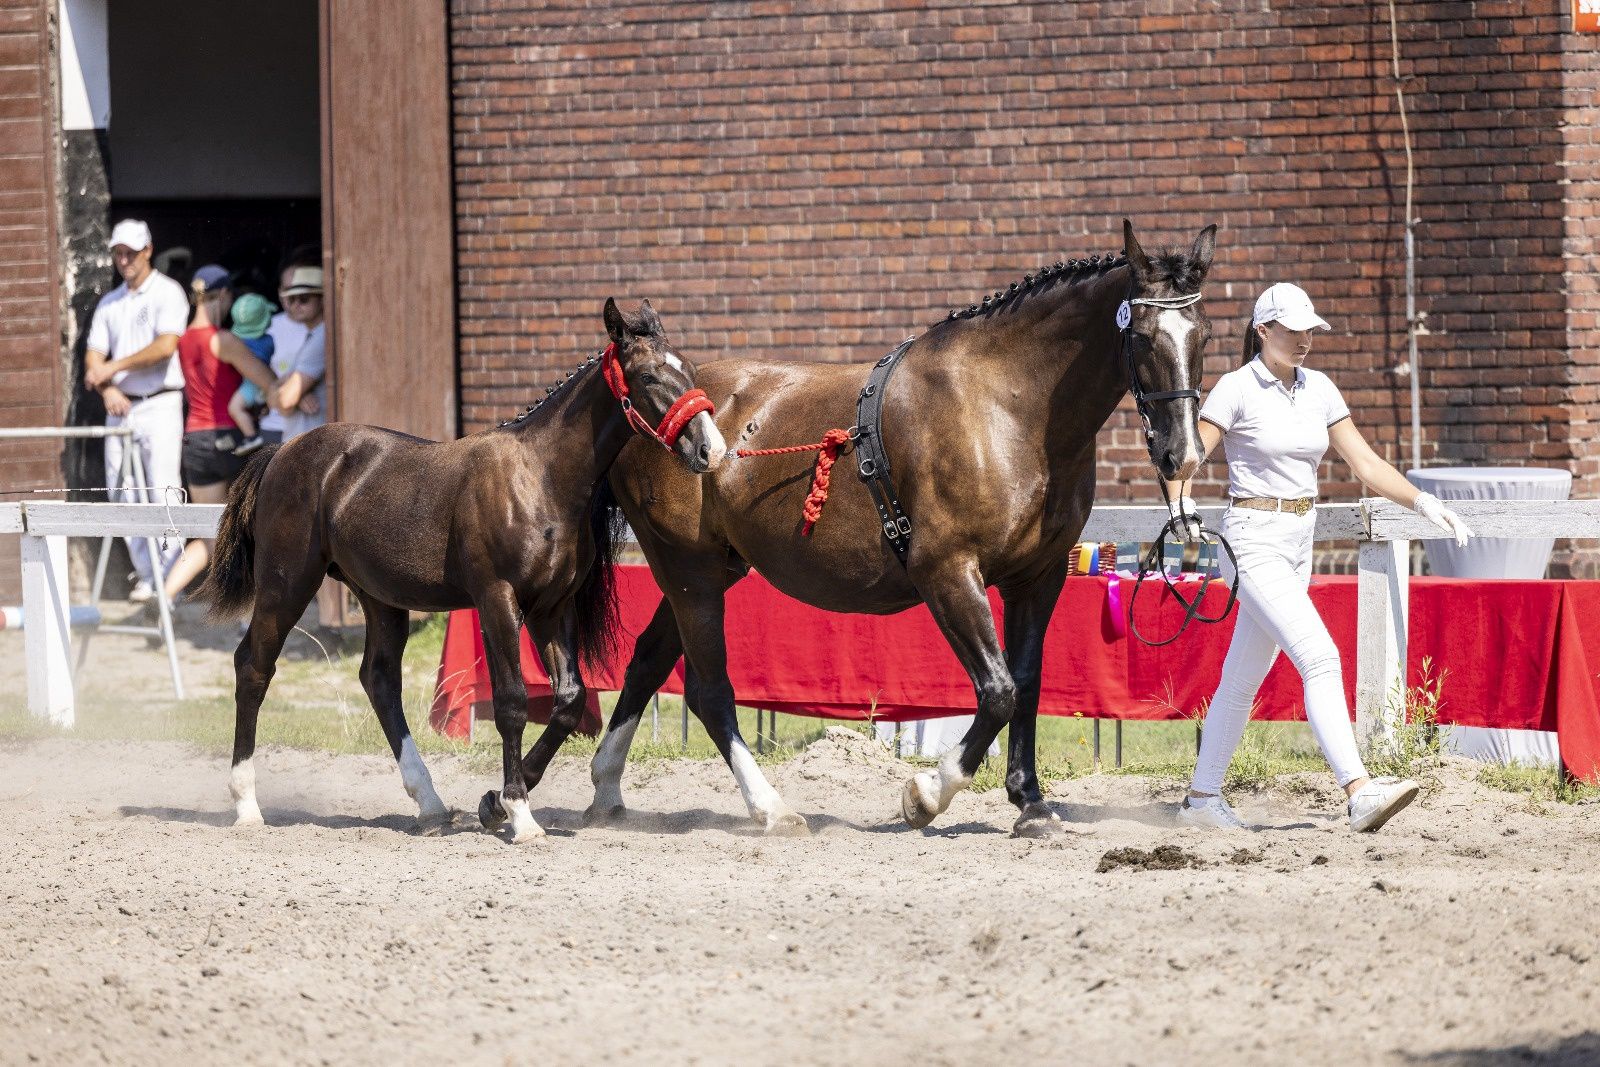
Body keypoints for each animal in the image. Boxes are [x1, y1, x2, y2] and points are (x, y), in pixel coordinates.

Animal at [200, 299, 726, 844]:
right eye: (648, 375)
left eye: (688, 368)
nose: (711, 450)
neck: (539, 478)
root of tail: (283, 452)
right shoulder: (498, 600)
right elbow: (513, 702)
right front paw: (518, 812)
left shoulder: (552, 608)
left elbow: (569, 701)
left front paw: (494, 802)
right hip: (286, 586)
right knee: (254, 668)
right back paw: (246, 806)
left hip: (380, 598)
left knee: (380, 680)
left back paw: (429, 803)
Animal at [588, 223, 1209, 831]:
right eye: (1143, 336)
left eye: (1202, 336)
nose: (1182, 455)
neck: (1005, 409)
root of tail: (642, 419)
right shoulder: (948, 571)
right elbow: (999, 690)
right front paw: (927, 794)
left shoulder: (1039, 577)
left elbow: (1027, 683)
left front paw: (1030, 803)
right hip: (687, 569)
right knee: (709, 691)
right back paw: (769, 808)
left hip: (712, 569)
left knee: (646, 662)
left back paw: (607, 787)